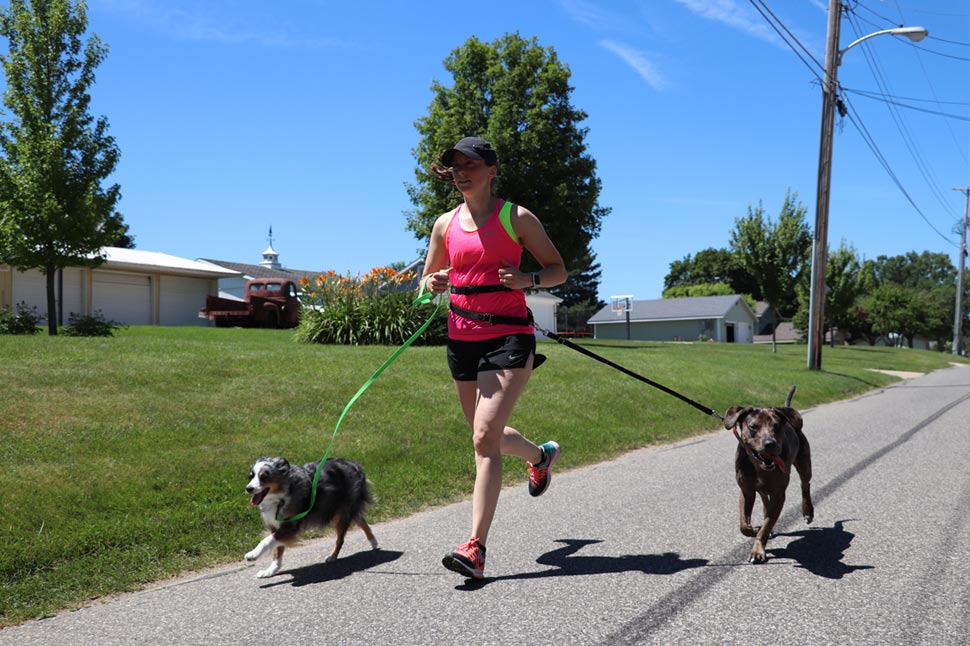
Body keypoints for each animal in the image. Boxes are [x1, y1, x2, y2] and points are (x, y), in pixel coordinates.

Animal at [244, 458, 376, 580]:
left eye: (264, 477)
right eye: (251, 476)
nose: (248, 488)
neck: (280, 496)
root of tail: (354, 464)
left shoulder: (290, 526)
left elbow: (266, 541)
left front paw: (253, 554)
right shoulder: (275, 526)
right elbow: (277, 550)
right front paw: (271, 570)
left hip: (342, 512)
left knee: (341, 539)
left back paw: (333, 556)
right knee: (360, 519)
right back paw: (373, 541)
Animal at [724, 388, 812, 564]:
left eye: (776, 426)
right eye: (753, 427)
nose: (770, 443)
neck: (760, 466)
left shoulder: (779, 495)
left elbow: (767, 524)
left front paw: (758, 549)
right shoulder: (746, 491)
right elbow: (744, 525)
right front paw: (754, 529)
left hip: (804, 463)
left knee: (805, 485)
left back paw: (807, 511)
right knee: (765, 500)